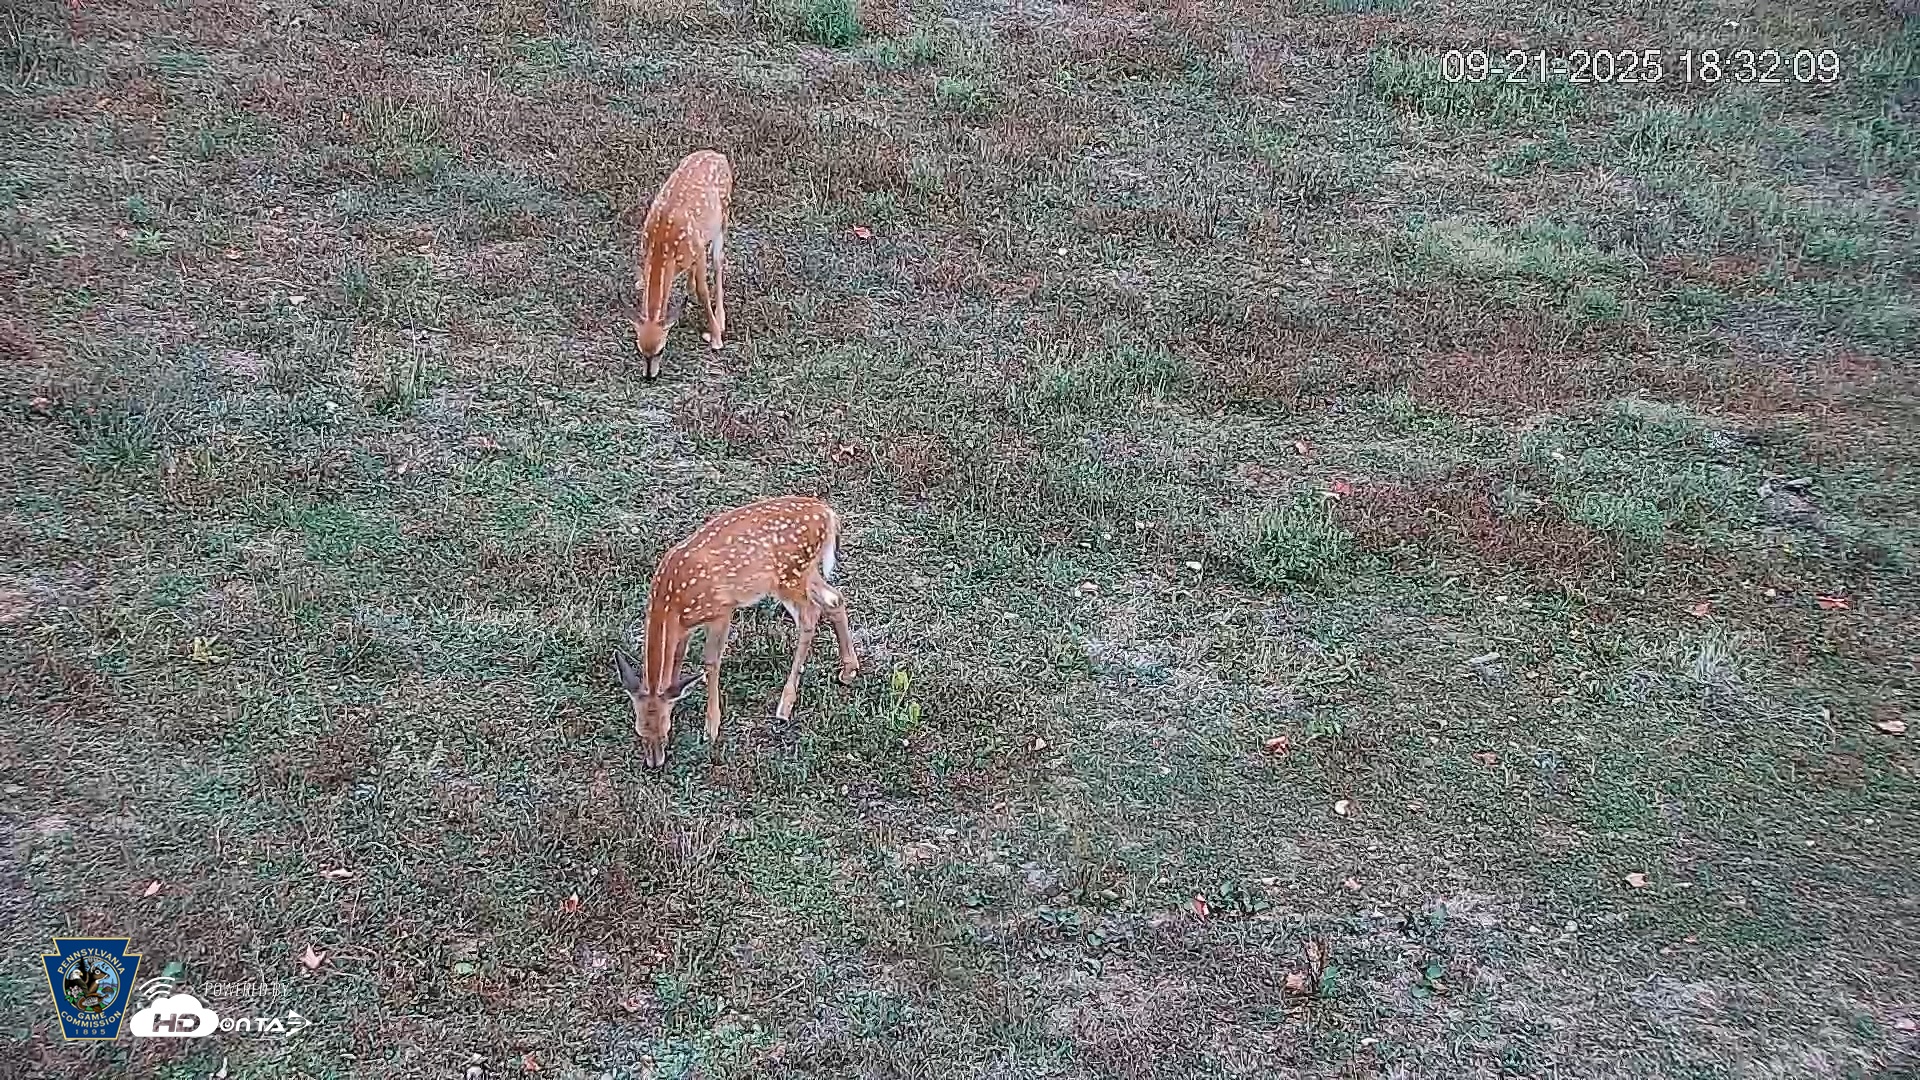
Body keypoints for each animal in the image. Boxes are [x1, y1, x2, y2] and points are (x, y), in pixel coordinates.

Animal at [613, 495, 859, 768]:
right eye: (639, 730)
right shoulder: (684, 627)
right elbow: (676, 661)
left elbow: (710, 662)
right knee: (834, 599)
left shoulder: (722, 610)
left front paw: (711, 727)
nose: (654, 763)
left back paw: (785, 705)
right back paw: (848, 670)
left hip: (790, 576)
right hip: (805, 572)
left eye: (663, 729)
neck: (672, 602)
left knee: (811, 616)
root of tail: (828, 514)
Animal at [628, 149, 733, 379]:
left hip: (723, 216)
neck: (662, 247)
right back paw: (689, 287)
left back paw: (721, 320)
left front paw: (715, 338)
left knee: (719, 261)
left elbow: (704, 292)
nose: (649, 376)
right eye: (639, 349)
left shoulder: (699, 250)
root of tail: (719, 155)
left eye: (661, 349)